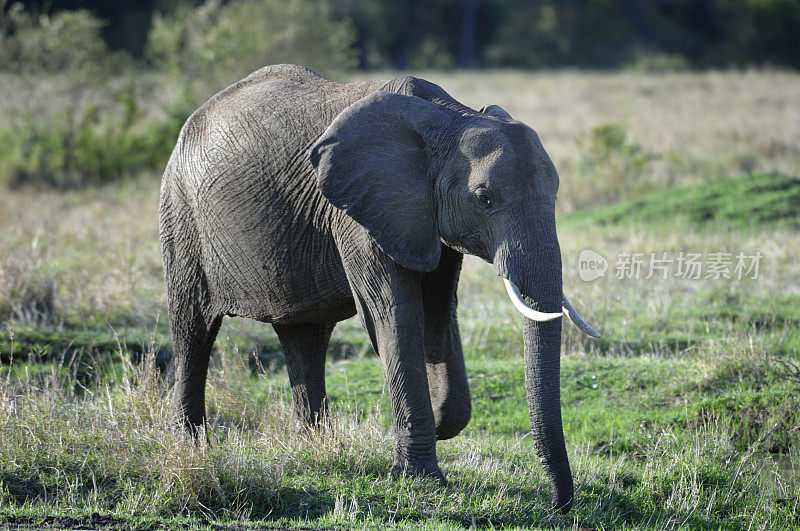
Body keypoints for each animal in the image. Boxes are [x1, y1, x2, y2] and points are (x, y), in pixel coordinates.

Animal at [161, 63, 600, 516]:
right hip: (181, 212)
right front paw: (421, 478)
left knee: (304, 335)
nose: (559, 505)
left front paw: (439, 424)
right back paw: (191, 449)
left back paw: (318, 451)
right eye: (485, 199)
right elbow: (394, 313)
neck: (450, 118)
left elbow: (438, 312)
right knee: (193, 327)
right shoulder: (359, 212)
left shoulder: (426, 216)